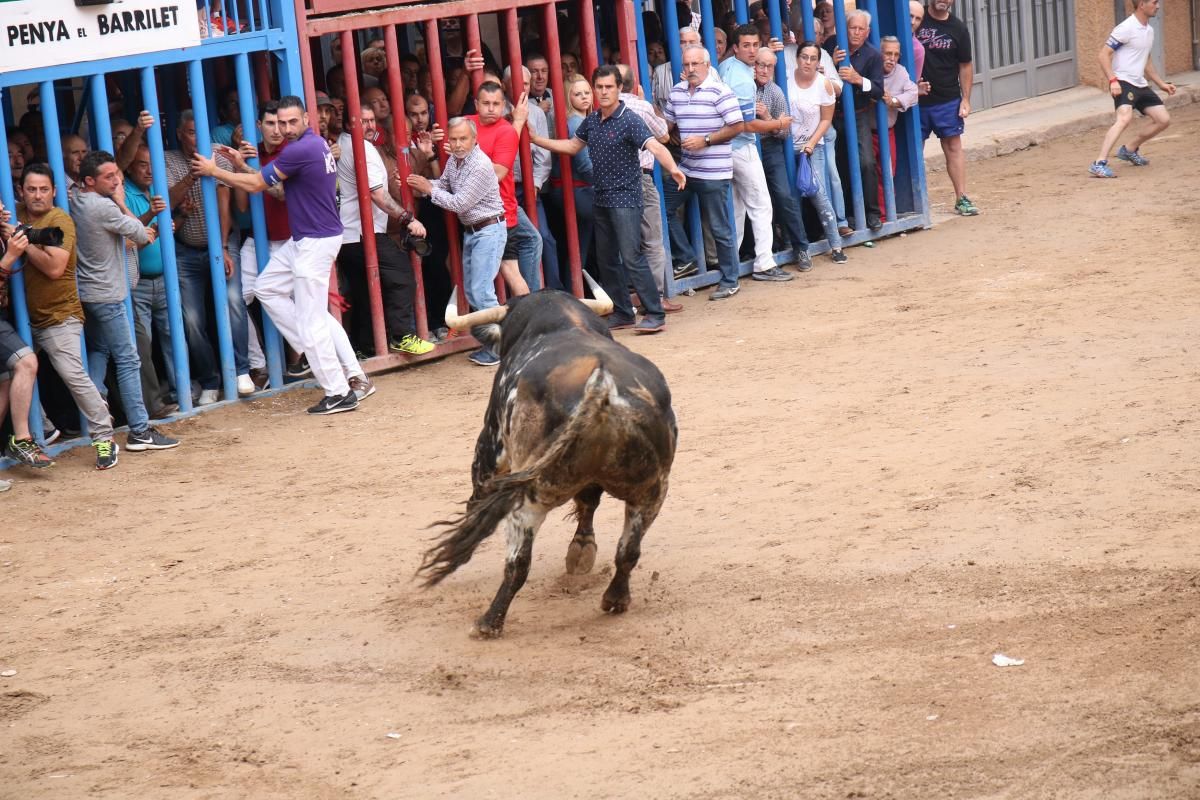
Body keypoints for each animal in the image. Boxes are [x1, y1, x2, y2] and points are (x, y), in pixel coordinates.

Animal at [417, 291, 676, 633]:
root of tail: (602, 388)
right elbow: (589, 502)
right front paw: (582, 550)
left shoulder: (491, 445)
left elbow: (477, 499)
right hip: (651, 492)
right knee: (628, 551)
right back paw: (616, 599)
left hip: (529, 497)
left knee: (517, 564)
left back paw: (489, 622)